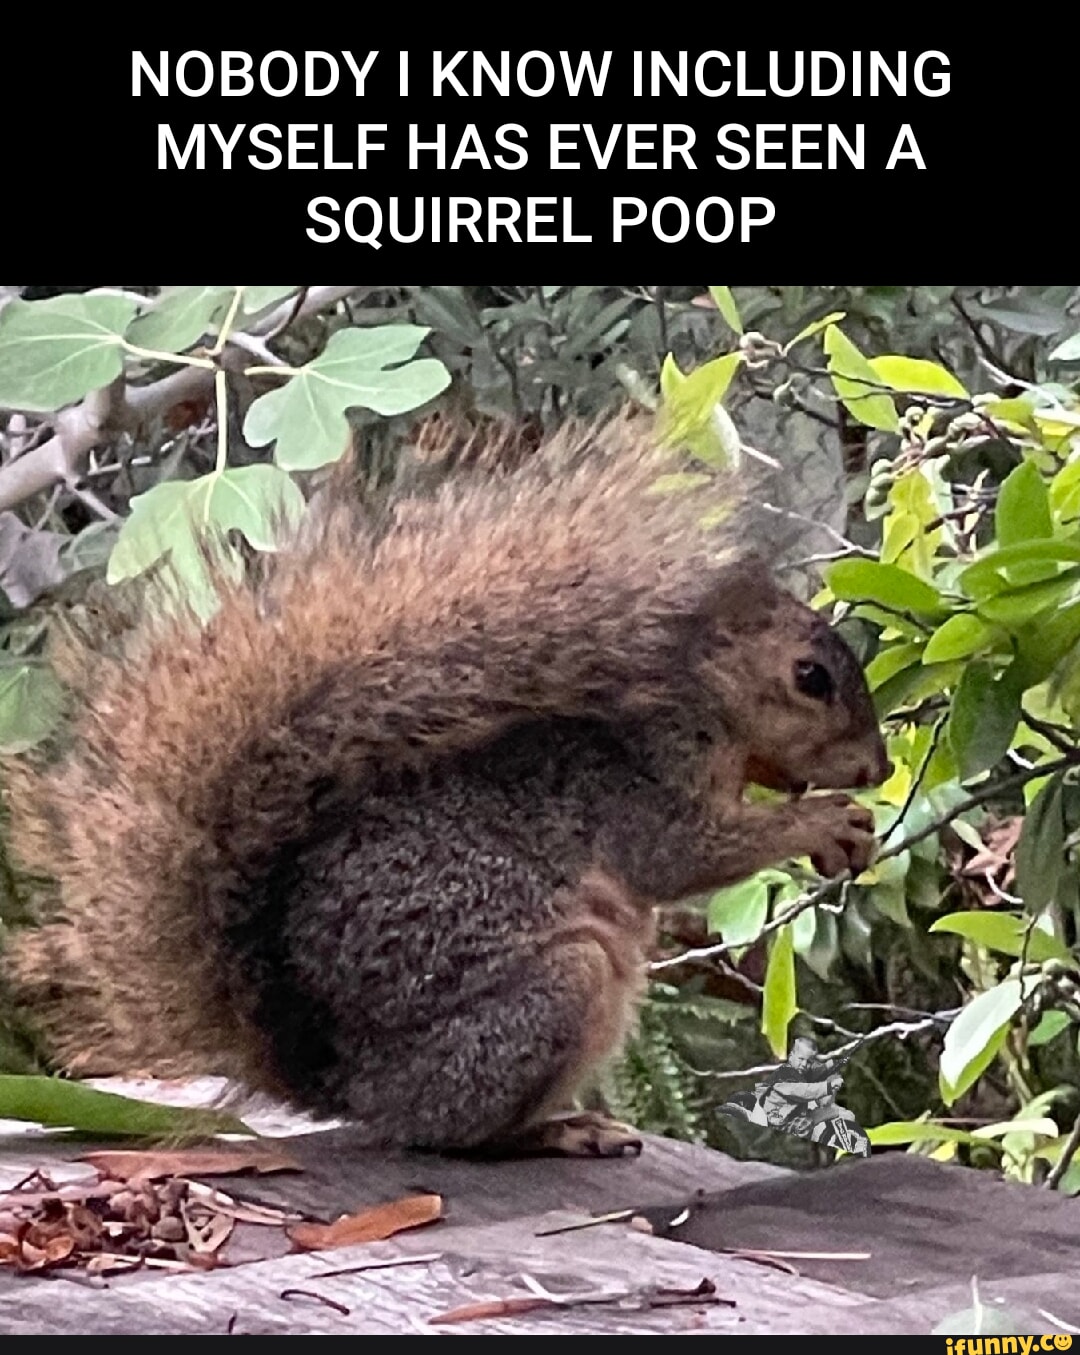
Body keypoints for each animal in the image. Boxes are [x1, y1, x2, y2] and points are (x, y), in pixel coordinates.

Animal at [3, 413, 889, 1157]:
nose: (879, 770)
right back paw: (553, 1132)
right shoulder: (630, 784)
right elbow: (682, 855)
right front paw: (824, 824)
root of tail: (348, 1087)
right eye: (810, 677)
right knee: (458, 1134)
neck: (697, 704)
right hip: (554, 992)